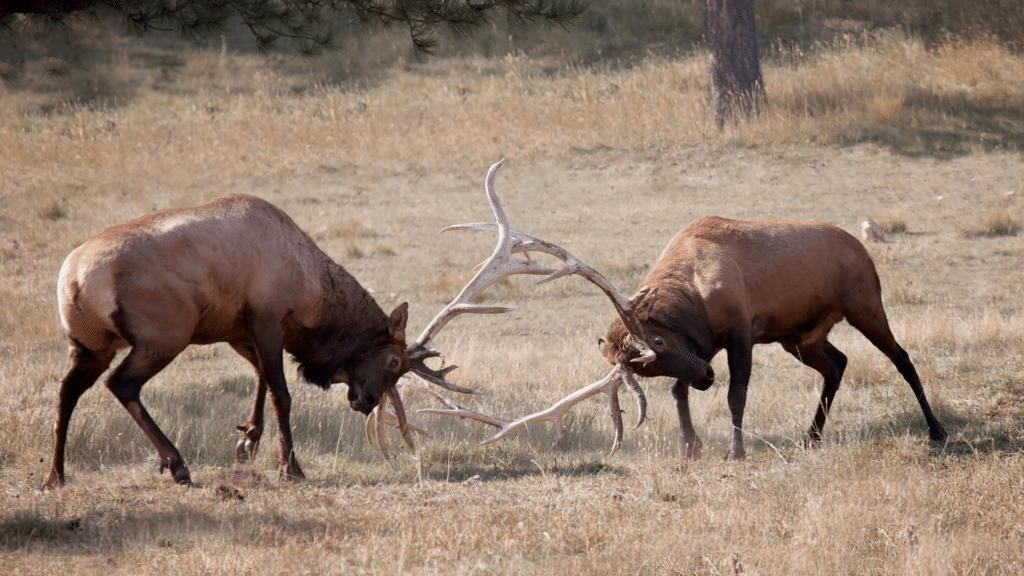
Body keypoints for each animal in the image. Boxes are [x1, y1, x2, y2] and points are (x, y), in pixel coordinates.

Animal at [598, 214, 946, 457]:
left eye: (658, 340)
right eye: (648, 368)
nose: (707, 378)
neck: (694, 295)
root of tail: (864, 253)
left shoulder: (740, 332)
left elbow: (736, 394)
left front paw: (735, 451)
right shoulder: (704, 346)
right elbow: (677, 390)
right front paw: (690, 447)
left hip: (865, 308)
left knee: (902, 359)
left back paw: (937, 430)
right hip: (800, 339)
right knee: (838, 363)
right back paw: (811, 436)